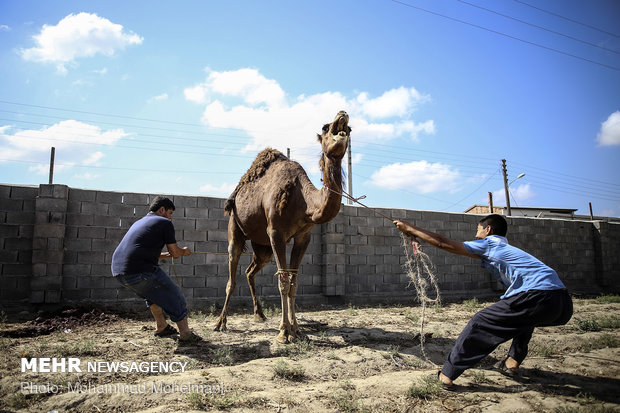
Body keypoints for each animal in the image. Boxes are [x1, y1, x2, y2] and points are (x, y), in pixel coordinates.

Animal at [212, 109, 348, 342]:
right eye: (325, 127)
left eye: (349, 129)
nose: (343, 113)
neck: (304, 202)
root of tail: (234, 196)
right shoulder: (276, 232)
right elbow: (283, 282)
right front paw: (284, 332)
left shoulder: (303, 236)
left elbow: (294, 282)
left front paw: (298, 331)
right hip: (235, 227)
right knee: (232, 274)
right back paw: (220, 323)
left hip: (262, 246)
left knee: (250, 271)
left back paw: (259, 314)